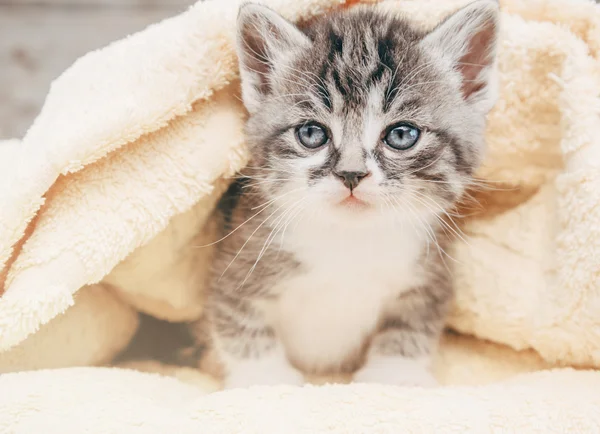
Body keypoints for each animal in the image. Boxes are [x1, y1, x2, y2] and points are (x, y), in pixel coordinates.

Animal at [195, 0, 500, 386]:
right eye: (312, 133)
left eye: (402, 135)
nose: (352, 174)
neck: (350, 241)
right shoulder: (236, 261)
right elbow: (239, 320)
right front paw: (265, 378)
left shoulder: (430, 273)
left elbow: (412, 323)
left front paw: (395, 373)